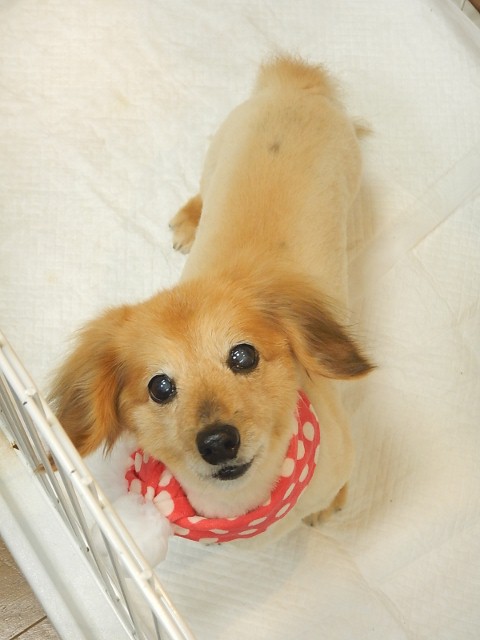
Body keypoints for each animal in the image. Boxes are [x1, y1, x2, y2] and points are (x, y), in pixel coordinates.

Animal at [50, 56, 372, 541]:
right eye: (159, 387)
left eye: (243, 356)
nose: (218, 442)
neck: (244, 507)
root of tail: (294, 89)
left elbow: (339, 485)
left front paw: (332, 503)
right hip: (216, 156)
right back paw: (189, 221)